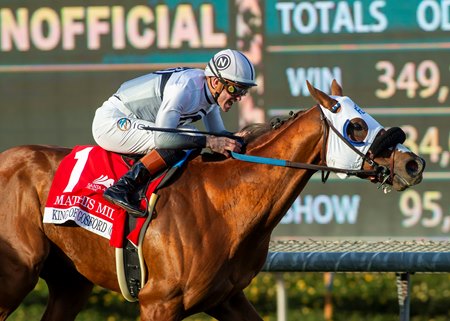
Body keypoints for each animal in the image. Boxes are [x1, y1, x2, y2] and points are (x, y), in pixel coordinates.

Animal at [0, 80, 424, 320]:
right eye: (356, 126)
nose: (413, 163)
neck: (223, 203)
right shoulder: (158, 301)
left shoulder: (226, 298)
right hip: (18, 274)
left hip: (71, 282)